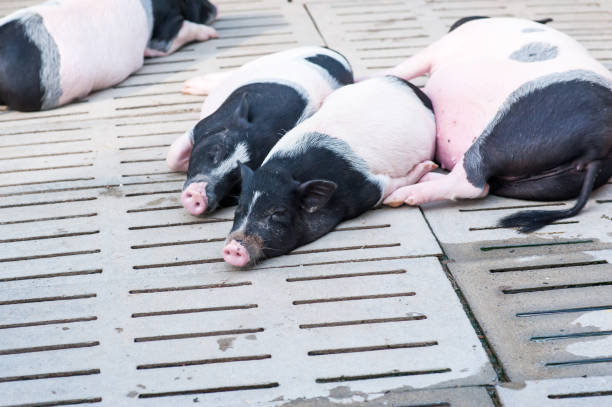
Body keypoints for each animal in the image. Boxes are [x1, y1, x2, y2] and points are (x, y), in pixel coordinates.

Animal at [167, 47, 356, 217]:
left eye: (238, 178)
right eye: (217, 150)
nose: (198, 195)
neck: (266, 127)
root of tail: (340, 57)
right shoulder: (207, 123)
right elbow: (172, 157)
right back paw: (189, 85)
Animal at [222, 76, 438, 268]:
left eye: (278, 212)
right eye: (239, 208)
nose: (233, 247)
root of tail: (406, 83)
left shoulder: (369, 186)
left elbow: (388, 186)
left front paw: (428, 168)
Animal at [382, 16, 612, 233]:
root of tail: (597, 148)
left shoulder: (439, 47)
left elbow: (404, 67)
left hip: (509, 132)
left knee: (472, 182)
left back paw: (400, 197)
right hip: (550, 180)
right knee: (484, 186)